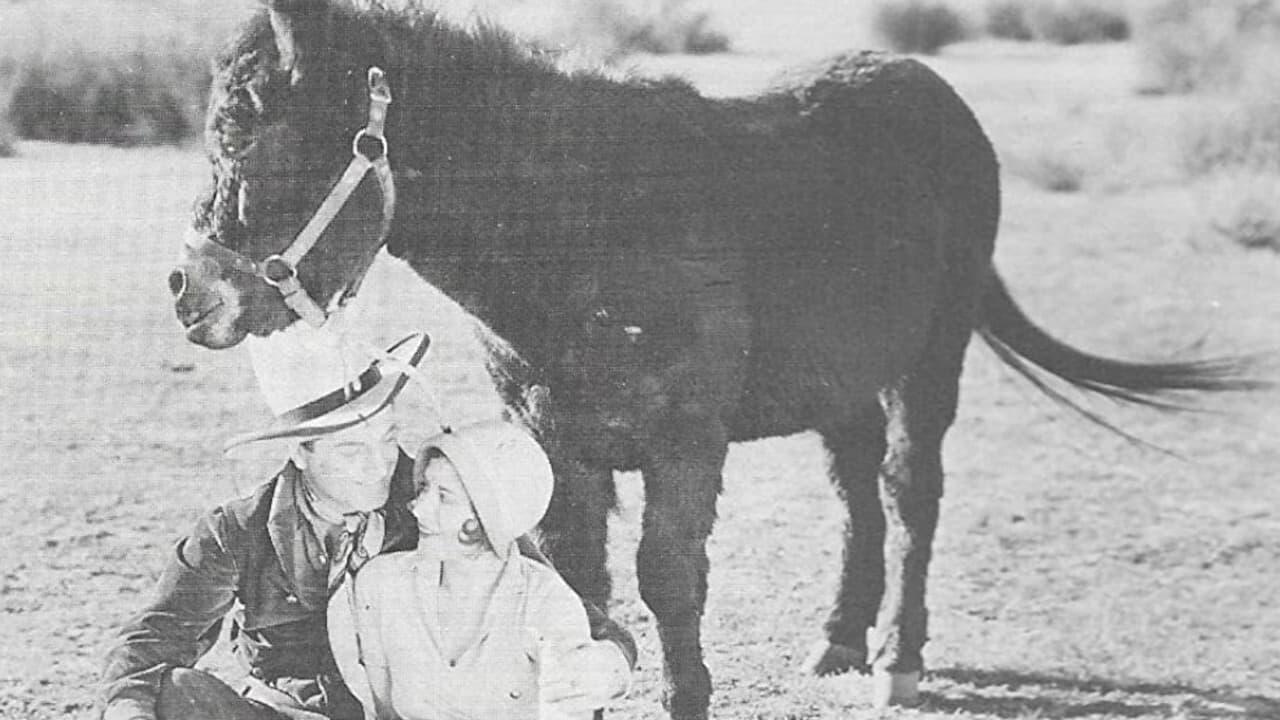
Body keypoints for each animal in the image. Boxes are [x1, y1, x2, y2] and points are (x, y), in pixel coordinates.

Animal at [170, 2, 1259, 712]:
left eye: (243, 135)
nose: (185, 291)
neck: (580, 226)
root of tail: (922, 79)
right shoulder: (552, 434)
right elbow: (576, 576)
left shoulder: (682, 437)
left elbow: (667, 579)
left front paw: (683, 694)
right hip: (839, 378)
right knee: (858, 488)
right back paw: (838, 639)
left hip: (930, 357)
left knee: (910, 492)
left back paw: (896, 659)